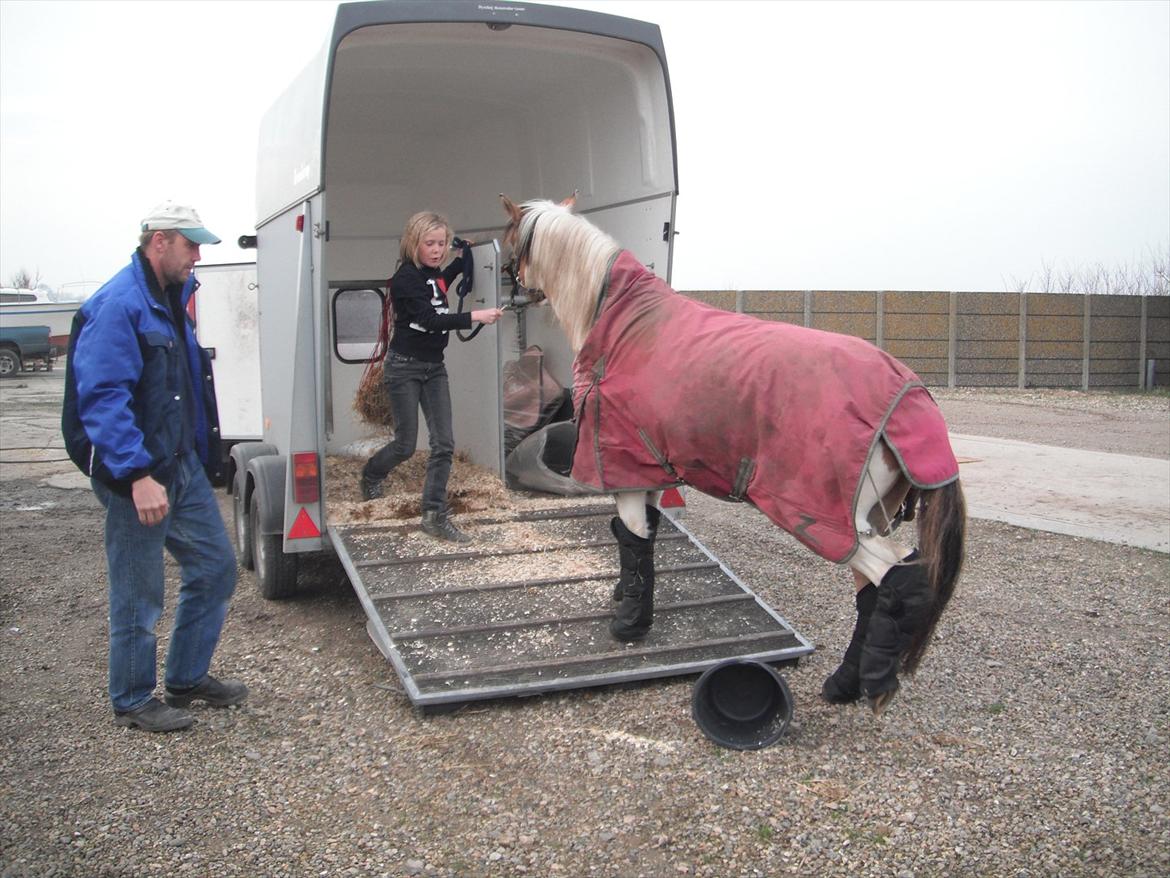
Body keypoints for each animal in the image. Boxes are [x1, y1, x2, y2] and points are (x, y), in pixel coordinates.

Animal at [498, 194, 964, 716]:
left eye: (511, 238)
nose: (508, 290)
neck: (623, 327)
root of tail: (910, 398)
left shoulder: (625, 466)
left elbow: (633, 535)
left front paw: (630, 624)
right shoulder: (651, 469)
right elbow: (639, 538)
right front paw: (628, 599)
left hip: (831, 522)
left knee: (892, 578)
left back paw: (874, 684)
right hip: (867, 521)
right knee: (871, 592)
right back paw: (843, 683)